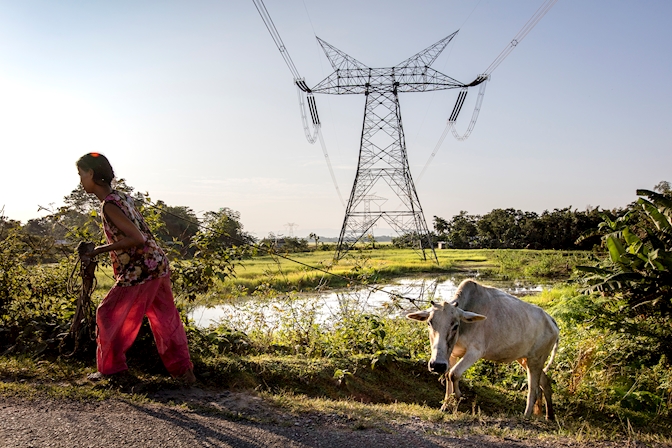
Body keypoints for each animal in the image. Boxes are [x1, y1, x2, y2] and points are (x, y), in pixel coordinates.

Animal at [406, 280, 560, 420]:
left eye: (455, 325)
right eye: (429, 323)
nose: (436, 365)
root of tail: (552, 321)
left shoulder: (475, 352)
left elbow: (453, 374)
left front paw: (458, 396)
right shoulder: (451, 355)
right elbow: (447, 375)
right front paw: (445, 406)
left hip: (536, 360)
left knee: (533, 389)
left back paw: (526, 415)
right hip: (525, 359)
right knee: (544, 382)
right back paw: (549, 415)